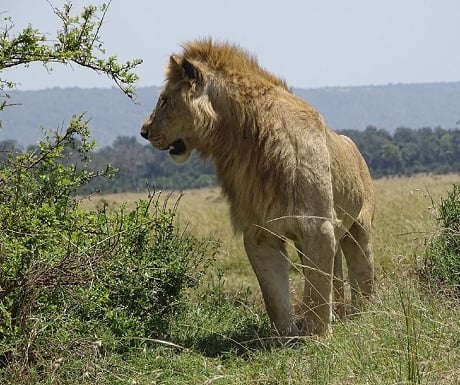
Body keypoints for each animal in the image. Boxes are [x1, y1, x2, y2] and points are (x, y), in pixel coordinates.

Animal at [140, 37, 374, 334]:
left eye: (164, 100)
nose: (143, 131)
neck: (244, 142)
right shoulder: (259, 231)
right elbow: (275, 298)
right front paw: (289, 339)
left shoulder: (317, 225)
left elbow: (317, 293)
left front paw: (318, 336)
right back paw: (340, 315)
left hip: (359, 227)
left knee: (362, 269)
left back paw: (363, 315)